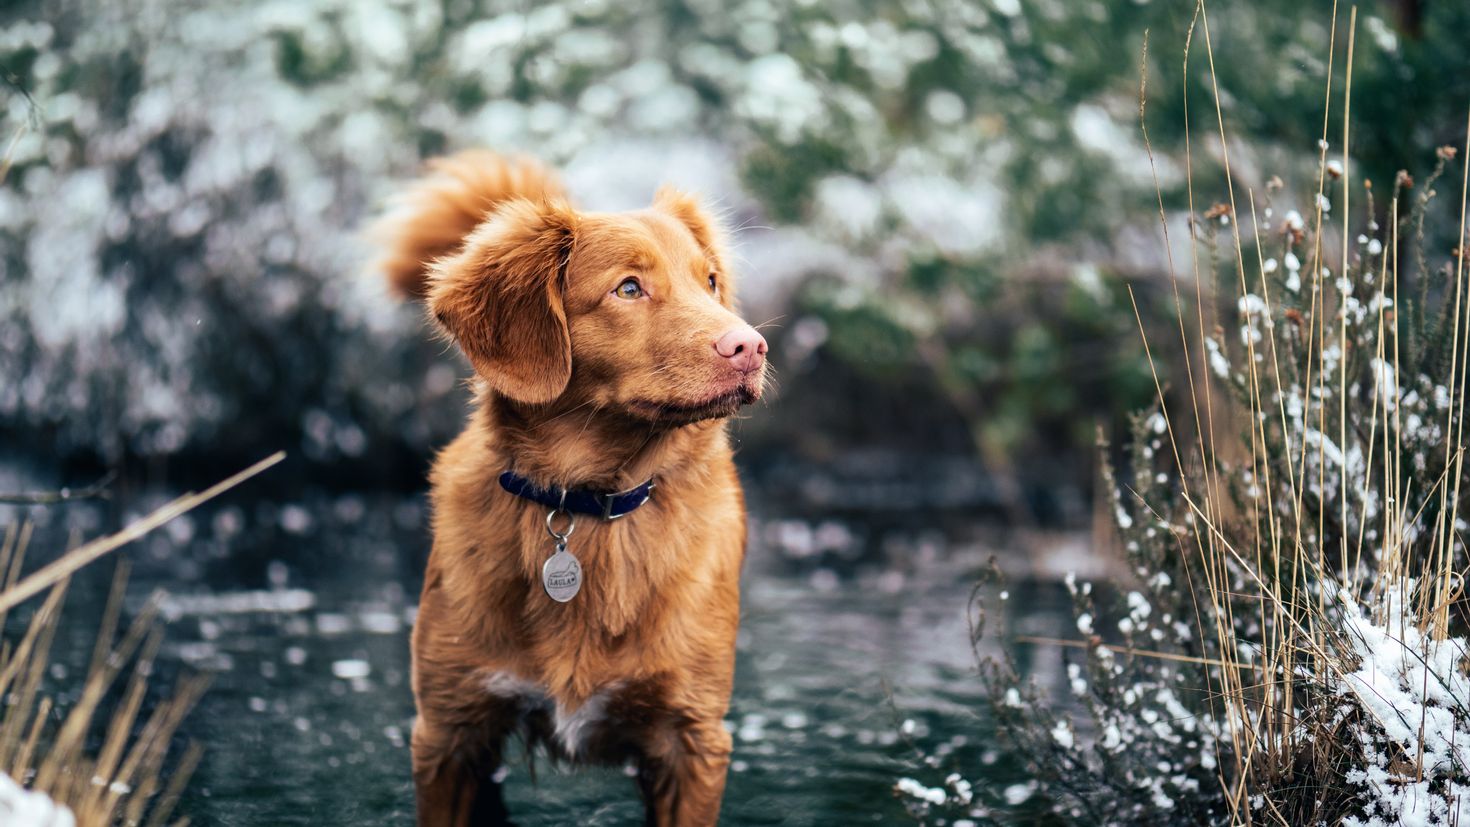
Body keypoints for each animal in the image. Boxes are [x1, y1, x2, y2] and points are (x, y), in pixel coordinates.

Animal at [376, 150, 770, 827]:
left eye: (712, 282)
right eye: (629, 288)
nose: (750, 346)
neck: (587, 503)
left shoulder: (692, 741)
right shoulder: (450, 732)